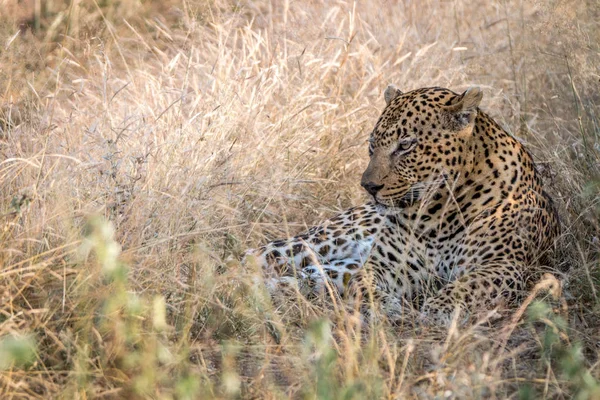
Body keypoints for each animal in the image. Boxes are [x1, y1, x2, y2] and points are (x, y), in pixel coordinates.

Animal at [241, 85, 560, 324]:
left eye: (405, 145)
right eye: (372, 145)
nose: (369, 187)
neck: (439, 216)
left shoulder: (506, 265)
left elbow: (467, 285)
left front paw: (439, 309)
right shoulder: (385, 266)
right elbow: (364, 284)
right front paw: (384, 306)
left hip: (331, 268)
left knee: (298, 278)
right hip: (320, 241)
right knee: (253, 256)